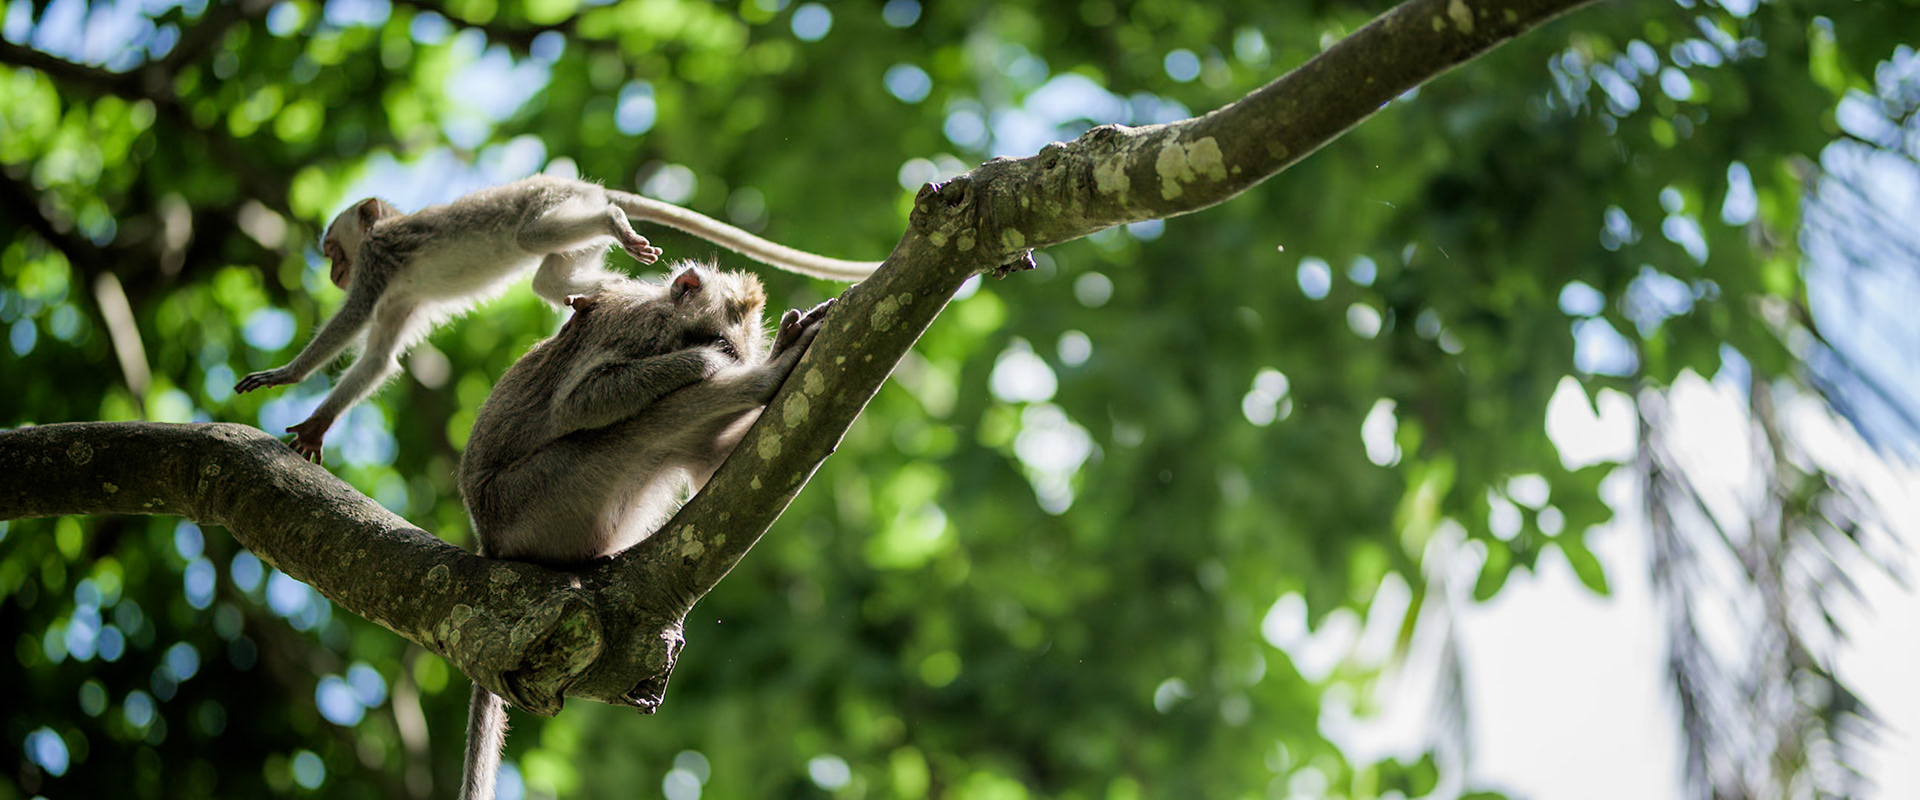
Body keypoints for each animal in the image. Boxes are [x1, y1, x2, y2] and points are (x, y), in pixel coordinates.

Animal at [233, 174, 875, 461]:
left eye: (333, 251)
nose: (333, 273)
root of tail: (573, 182)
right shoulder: (400, 301)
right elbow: (378, 357)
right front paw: (317, 425)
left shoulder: (378, 263)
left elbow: (352, 322)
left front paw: (285, 375)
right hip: (571, 239)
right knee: (551, 277)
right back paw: (597, 293)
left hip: (551, 206)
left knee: (536, 234)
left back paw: (616, 219)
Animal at [453, 262, 834, 800]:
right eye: (719, 339)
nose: (732, 358)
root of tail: (490, 542)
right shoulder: (635, 328)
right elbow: (580, 403)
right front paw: (704, 363)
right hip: (536, 497)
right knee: (633, 426)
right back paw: (766, 380)